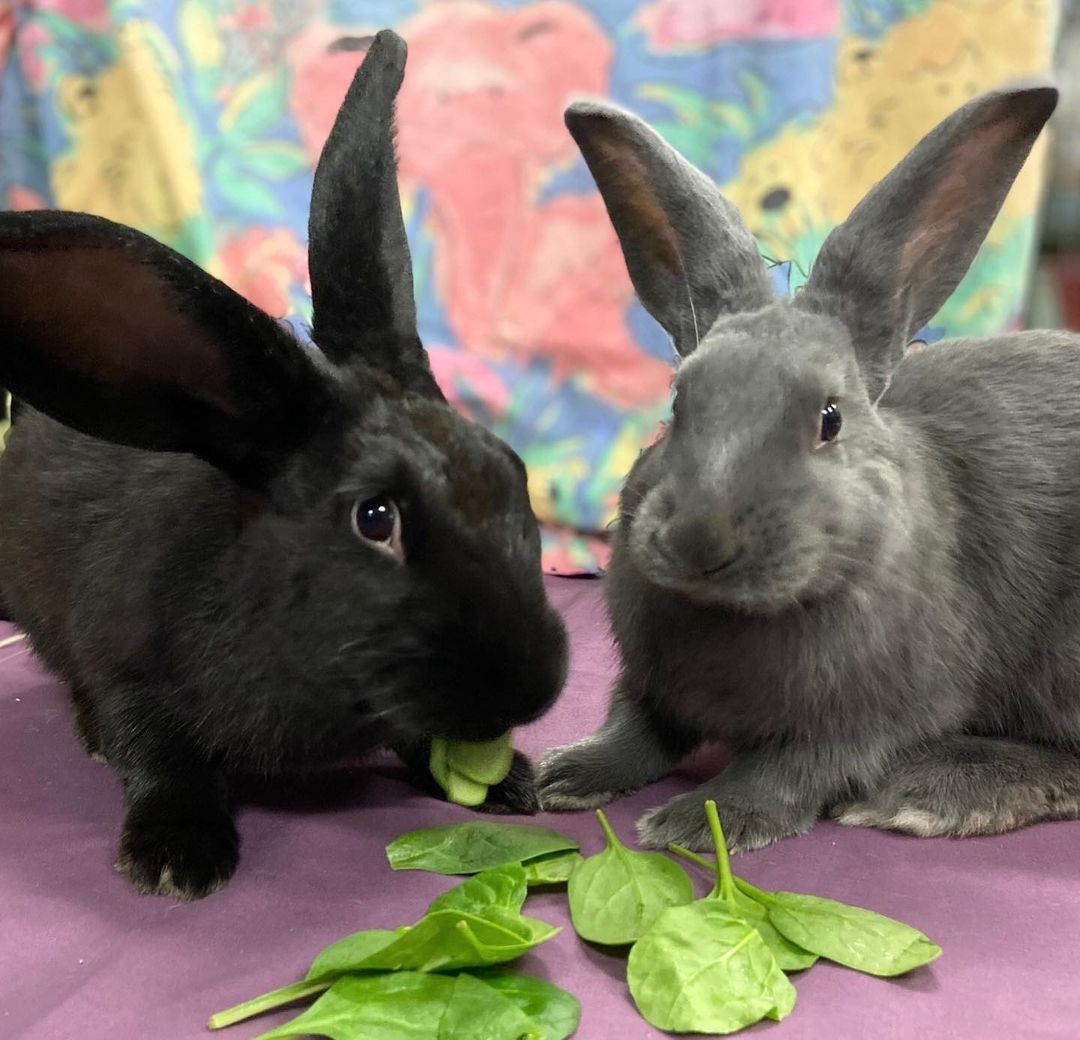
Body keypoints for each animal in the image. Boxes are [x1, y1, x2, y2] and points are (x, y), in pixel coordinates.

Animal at [540, 85, 1080, 855]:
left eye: (830, 419)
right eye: (678, 402)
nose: (698, 540)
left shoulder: (868, 719)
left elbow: (790, 769)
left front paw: (696, 823)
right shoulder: (650, 686)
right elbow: (634, 730)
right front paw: (565, 773)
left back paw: (927, 795)